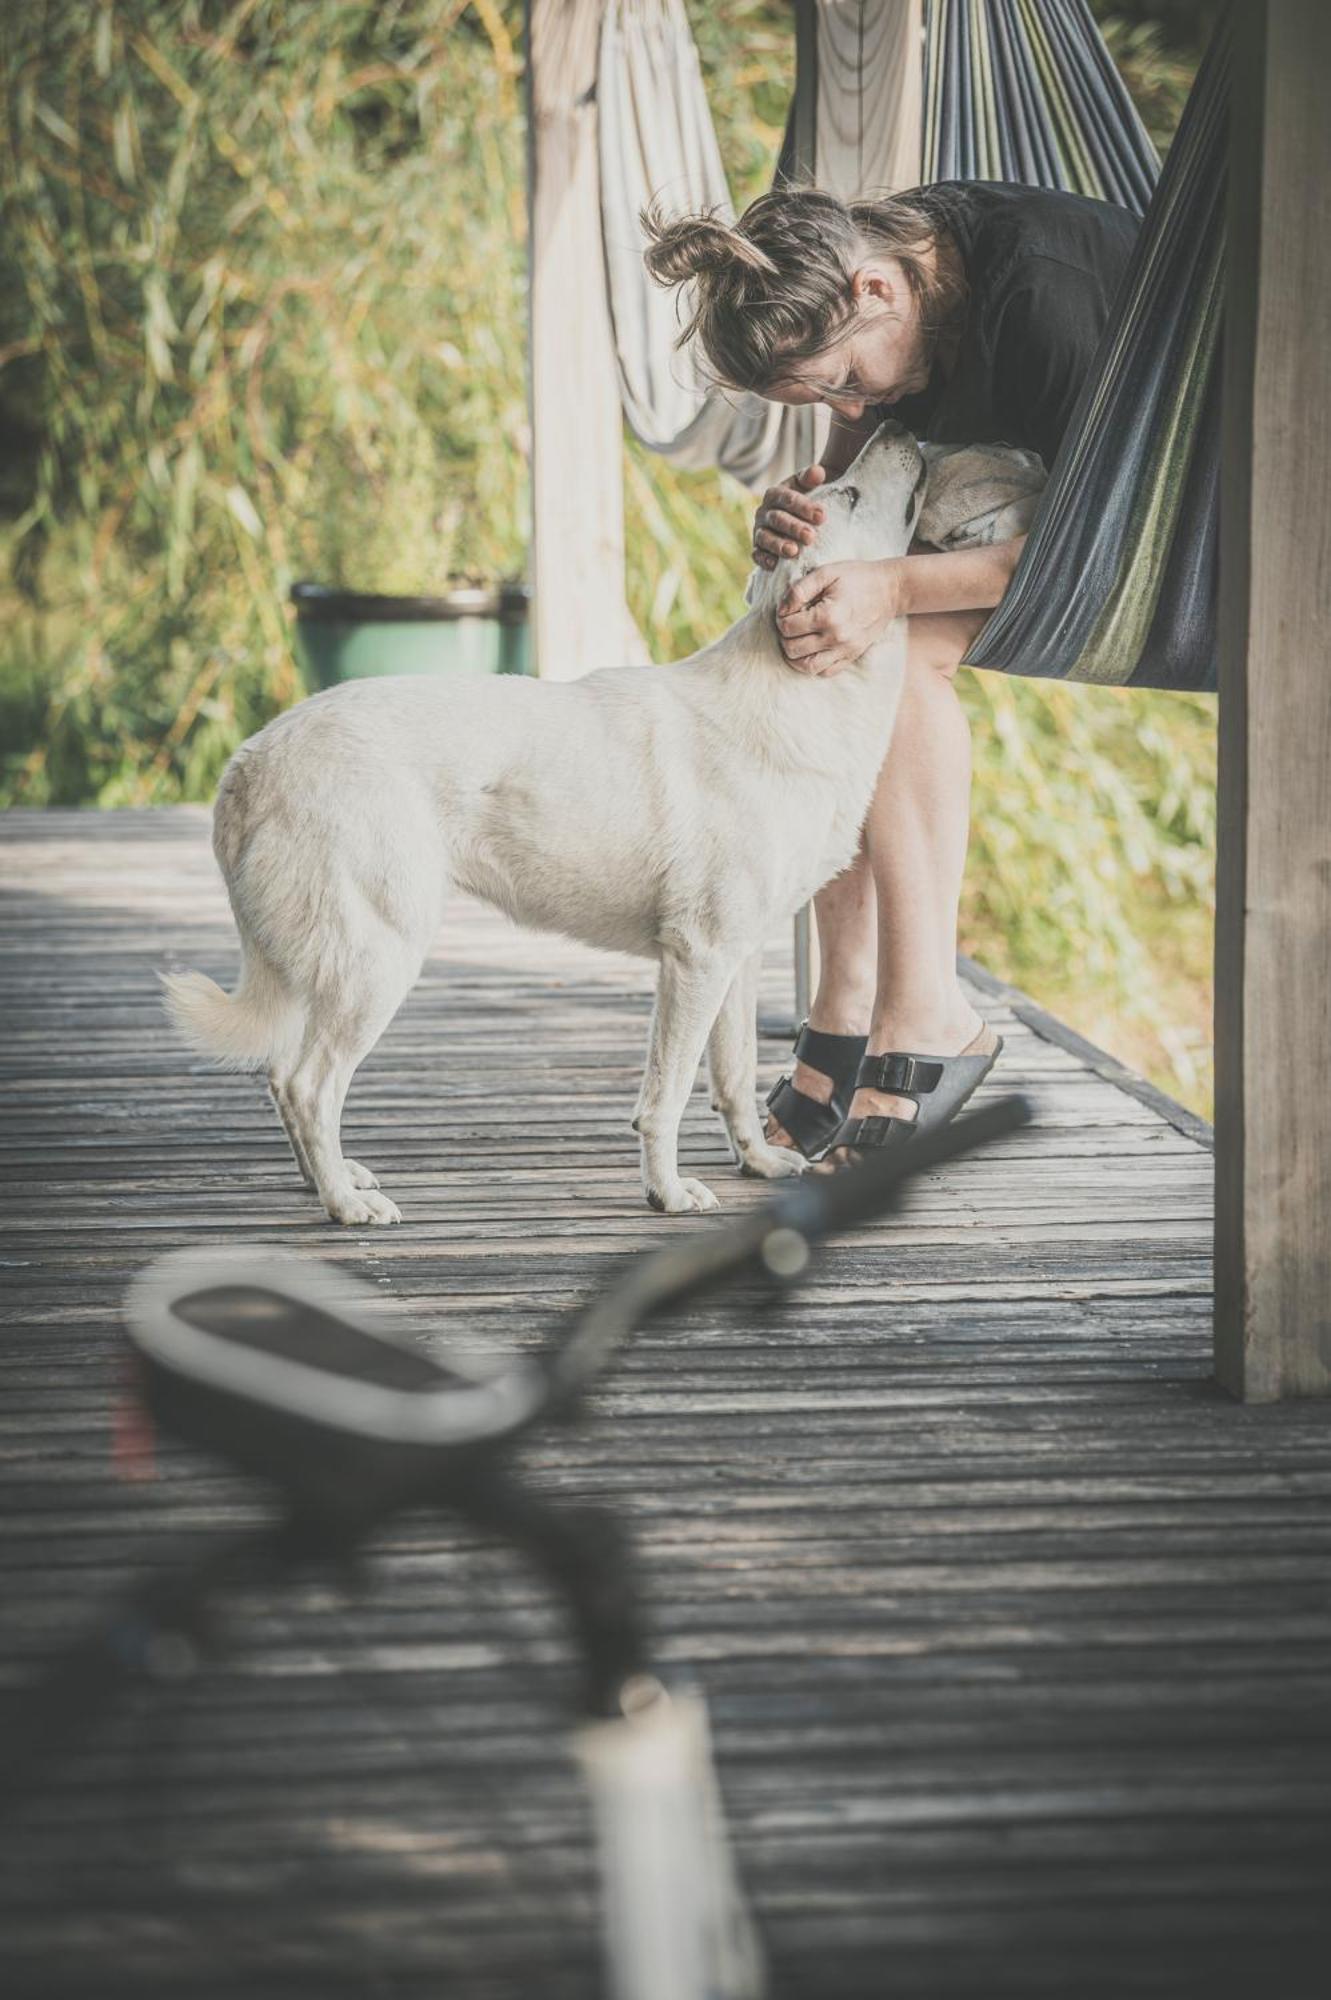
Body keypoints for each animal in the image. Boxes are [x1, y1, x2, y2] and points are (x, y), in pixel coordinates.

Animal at [162, 426, 1039, 1216]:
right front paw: (667, 1193)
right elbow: (667, 1095)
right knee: (306, 1083)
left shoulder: (734, 961)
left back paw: (330, 1181)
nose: (894, 425)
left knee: (284, 1080)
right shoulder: (694, 960)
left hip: (333, 959)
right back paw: (346, 1204)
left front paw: (757, 1163)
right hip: (377, 956)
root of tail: (250, 760)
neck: (802, 691)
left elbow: (731, 1078)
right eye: (849, 494)